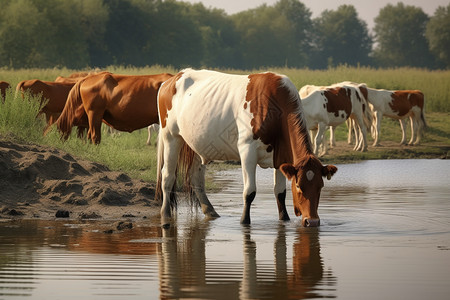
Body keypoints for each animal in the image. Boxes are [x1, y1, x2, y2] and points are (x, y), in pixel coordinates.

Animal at [156, 68, 336, 227]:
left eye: (320, 186)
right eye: (299, 186)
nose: (312, 221)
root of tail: (173, 78)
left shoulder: (281, 157)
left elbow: (280, 192)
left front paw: (284, 219)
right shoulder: (247, 151)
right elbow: (249, 192)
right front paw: (244, 221)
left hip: (196, 142)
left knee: (195, 177)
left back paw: (210, 210)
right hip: (171, 136)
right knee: (167, 176)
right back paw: (165, 214)